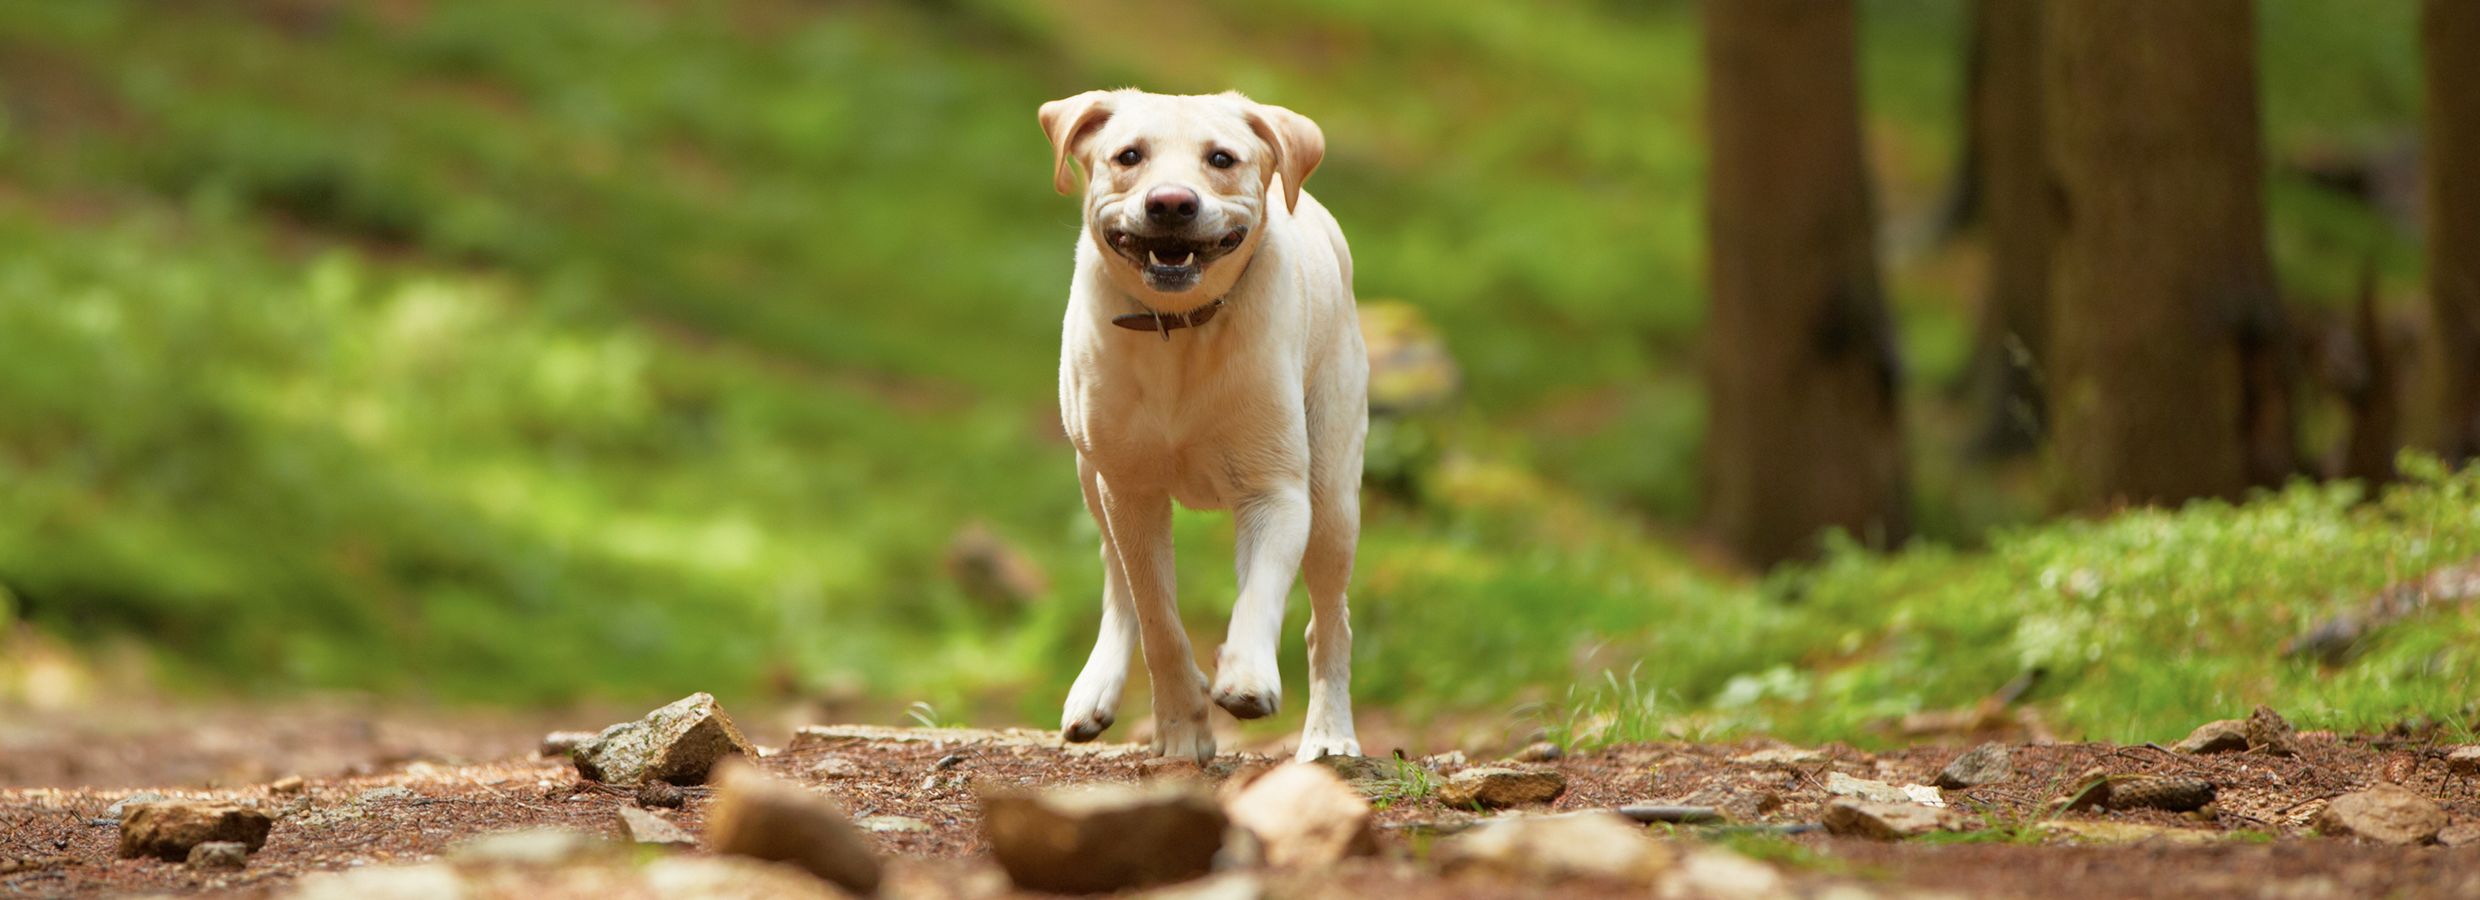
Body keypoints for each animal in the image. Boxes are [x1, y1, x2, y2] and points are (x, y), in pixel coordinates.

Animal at [1036, 89, 1368, 763]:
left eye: (1221, 159)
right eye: (1128, 156)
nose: (1170, 202)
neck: (1178, 329)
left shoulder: (1277, 490)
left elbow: (1260, 595)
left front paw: (1246, 678)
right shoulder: (1129, 489)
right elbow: (1157, 616)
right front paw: (1182, 728)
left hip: (1333, 492)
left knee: (1329, 620)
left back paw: (1329, 734)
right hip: (1090, 475)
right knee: (1118, 581)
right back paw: (1094, 690)